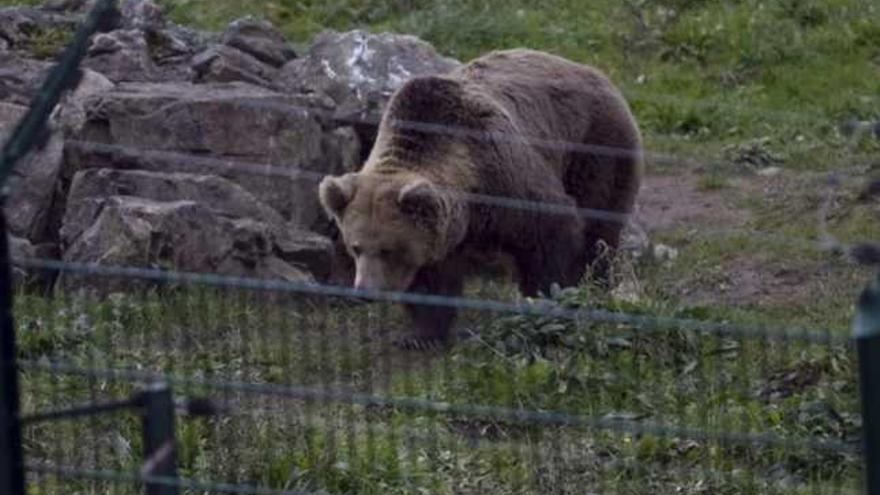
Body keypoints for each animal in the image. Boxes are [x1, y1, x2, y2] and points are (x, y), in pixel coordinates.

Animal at [316, 48, 640, 346]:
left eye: (387, 250)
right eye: (356, 247)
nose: (365, 291)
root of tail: (594, 72)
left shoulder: (505, 178)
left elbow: (550, 233)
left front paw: (548, 300)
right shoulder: (442, 231)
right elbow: (430, 280)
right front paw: (421, 334)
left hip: (595, 145)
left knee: (599, 225)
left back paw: (596, 286)